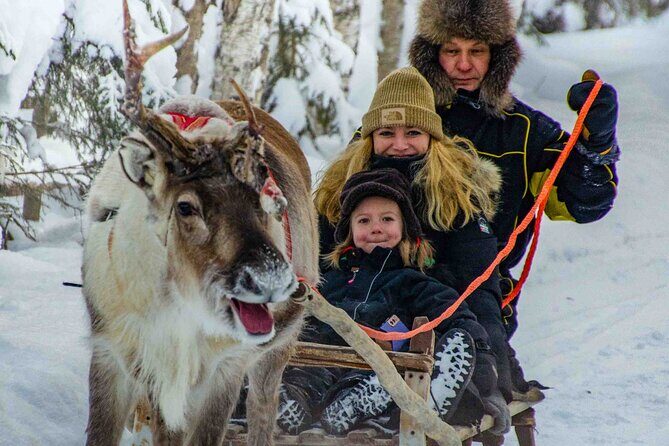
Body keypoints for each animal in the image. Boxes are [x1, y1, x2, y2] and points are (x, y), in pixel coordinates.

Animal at [81, 1, 318, 444]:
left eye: (263, 186)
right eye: (186, 207)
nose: (272, 279)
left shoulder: (224, 367)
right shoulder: (112, 352)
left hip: (281, 342)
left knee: (264, 408)